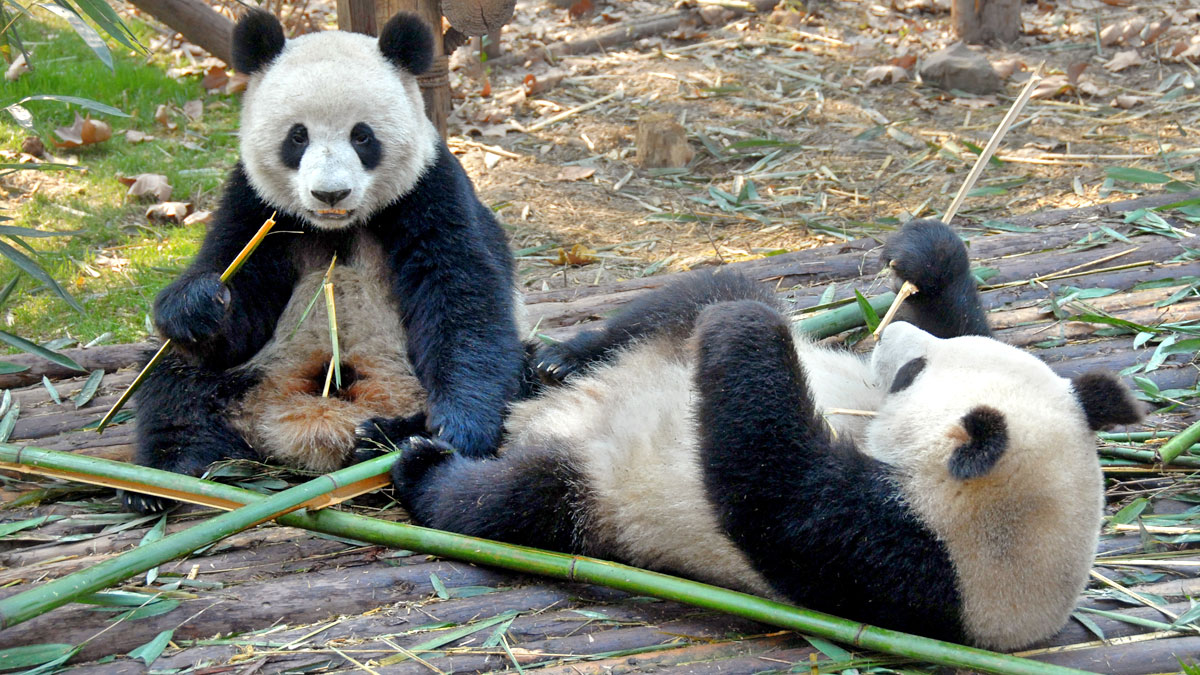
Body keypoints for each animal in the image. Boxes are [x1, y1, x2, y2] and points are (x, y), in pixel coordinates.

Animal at [124, 9, 528, 509]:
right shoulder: (256, 207)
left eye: (363, 136)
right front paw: (198, 303)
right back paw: (164, 475)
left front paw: (457, 427)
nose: (330, 193)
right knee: (173, 382)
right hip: (248, 373)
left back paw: (386, 439)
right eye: (297, 136)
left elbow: (461, 295)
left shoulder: (429, 191)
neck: (338, 229)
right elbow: (241, 304)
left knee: (525, 372)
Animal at [386, 219, 1142, 648]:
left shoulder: (899, 559)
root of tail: (552, 415)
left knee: (513, 498)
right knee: (690, 297)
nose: (888, 339)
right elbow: (964, 321)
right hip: (650, 344)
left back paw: (425, 466)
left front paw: (746, 333)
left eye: (910, 374)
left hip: (597, 486)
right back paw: (555, 361)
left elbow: (772, 490)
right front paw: (923, 257)